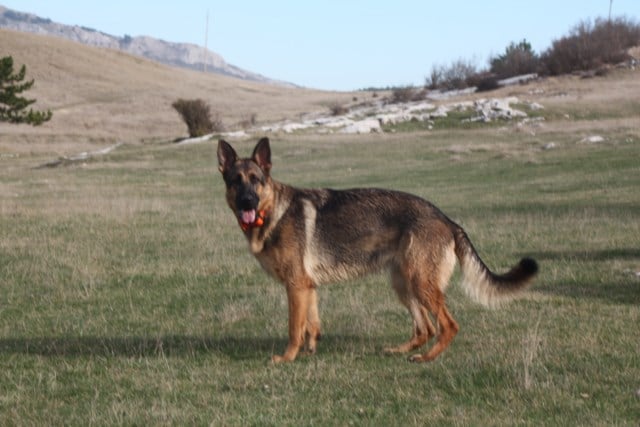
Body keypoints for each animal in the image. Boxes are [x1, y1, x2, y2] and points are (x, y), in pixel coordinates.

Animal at [218, 138, 536, 364]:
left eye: (256, 180)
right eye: (236, 182)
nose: (247, 202)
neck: (272, 211)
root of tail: (445, 218)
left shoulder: (296, 285)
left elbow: (294, 327)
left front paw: (287, 358)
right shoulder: (306, 287)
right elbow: (311, 324)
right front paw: (309, 351)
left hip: (420, 284)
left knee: (448, 326)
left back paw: (427, 358)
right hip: (403, 284)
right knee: (426, 328)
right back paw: (400, 350)